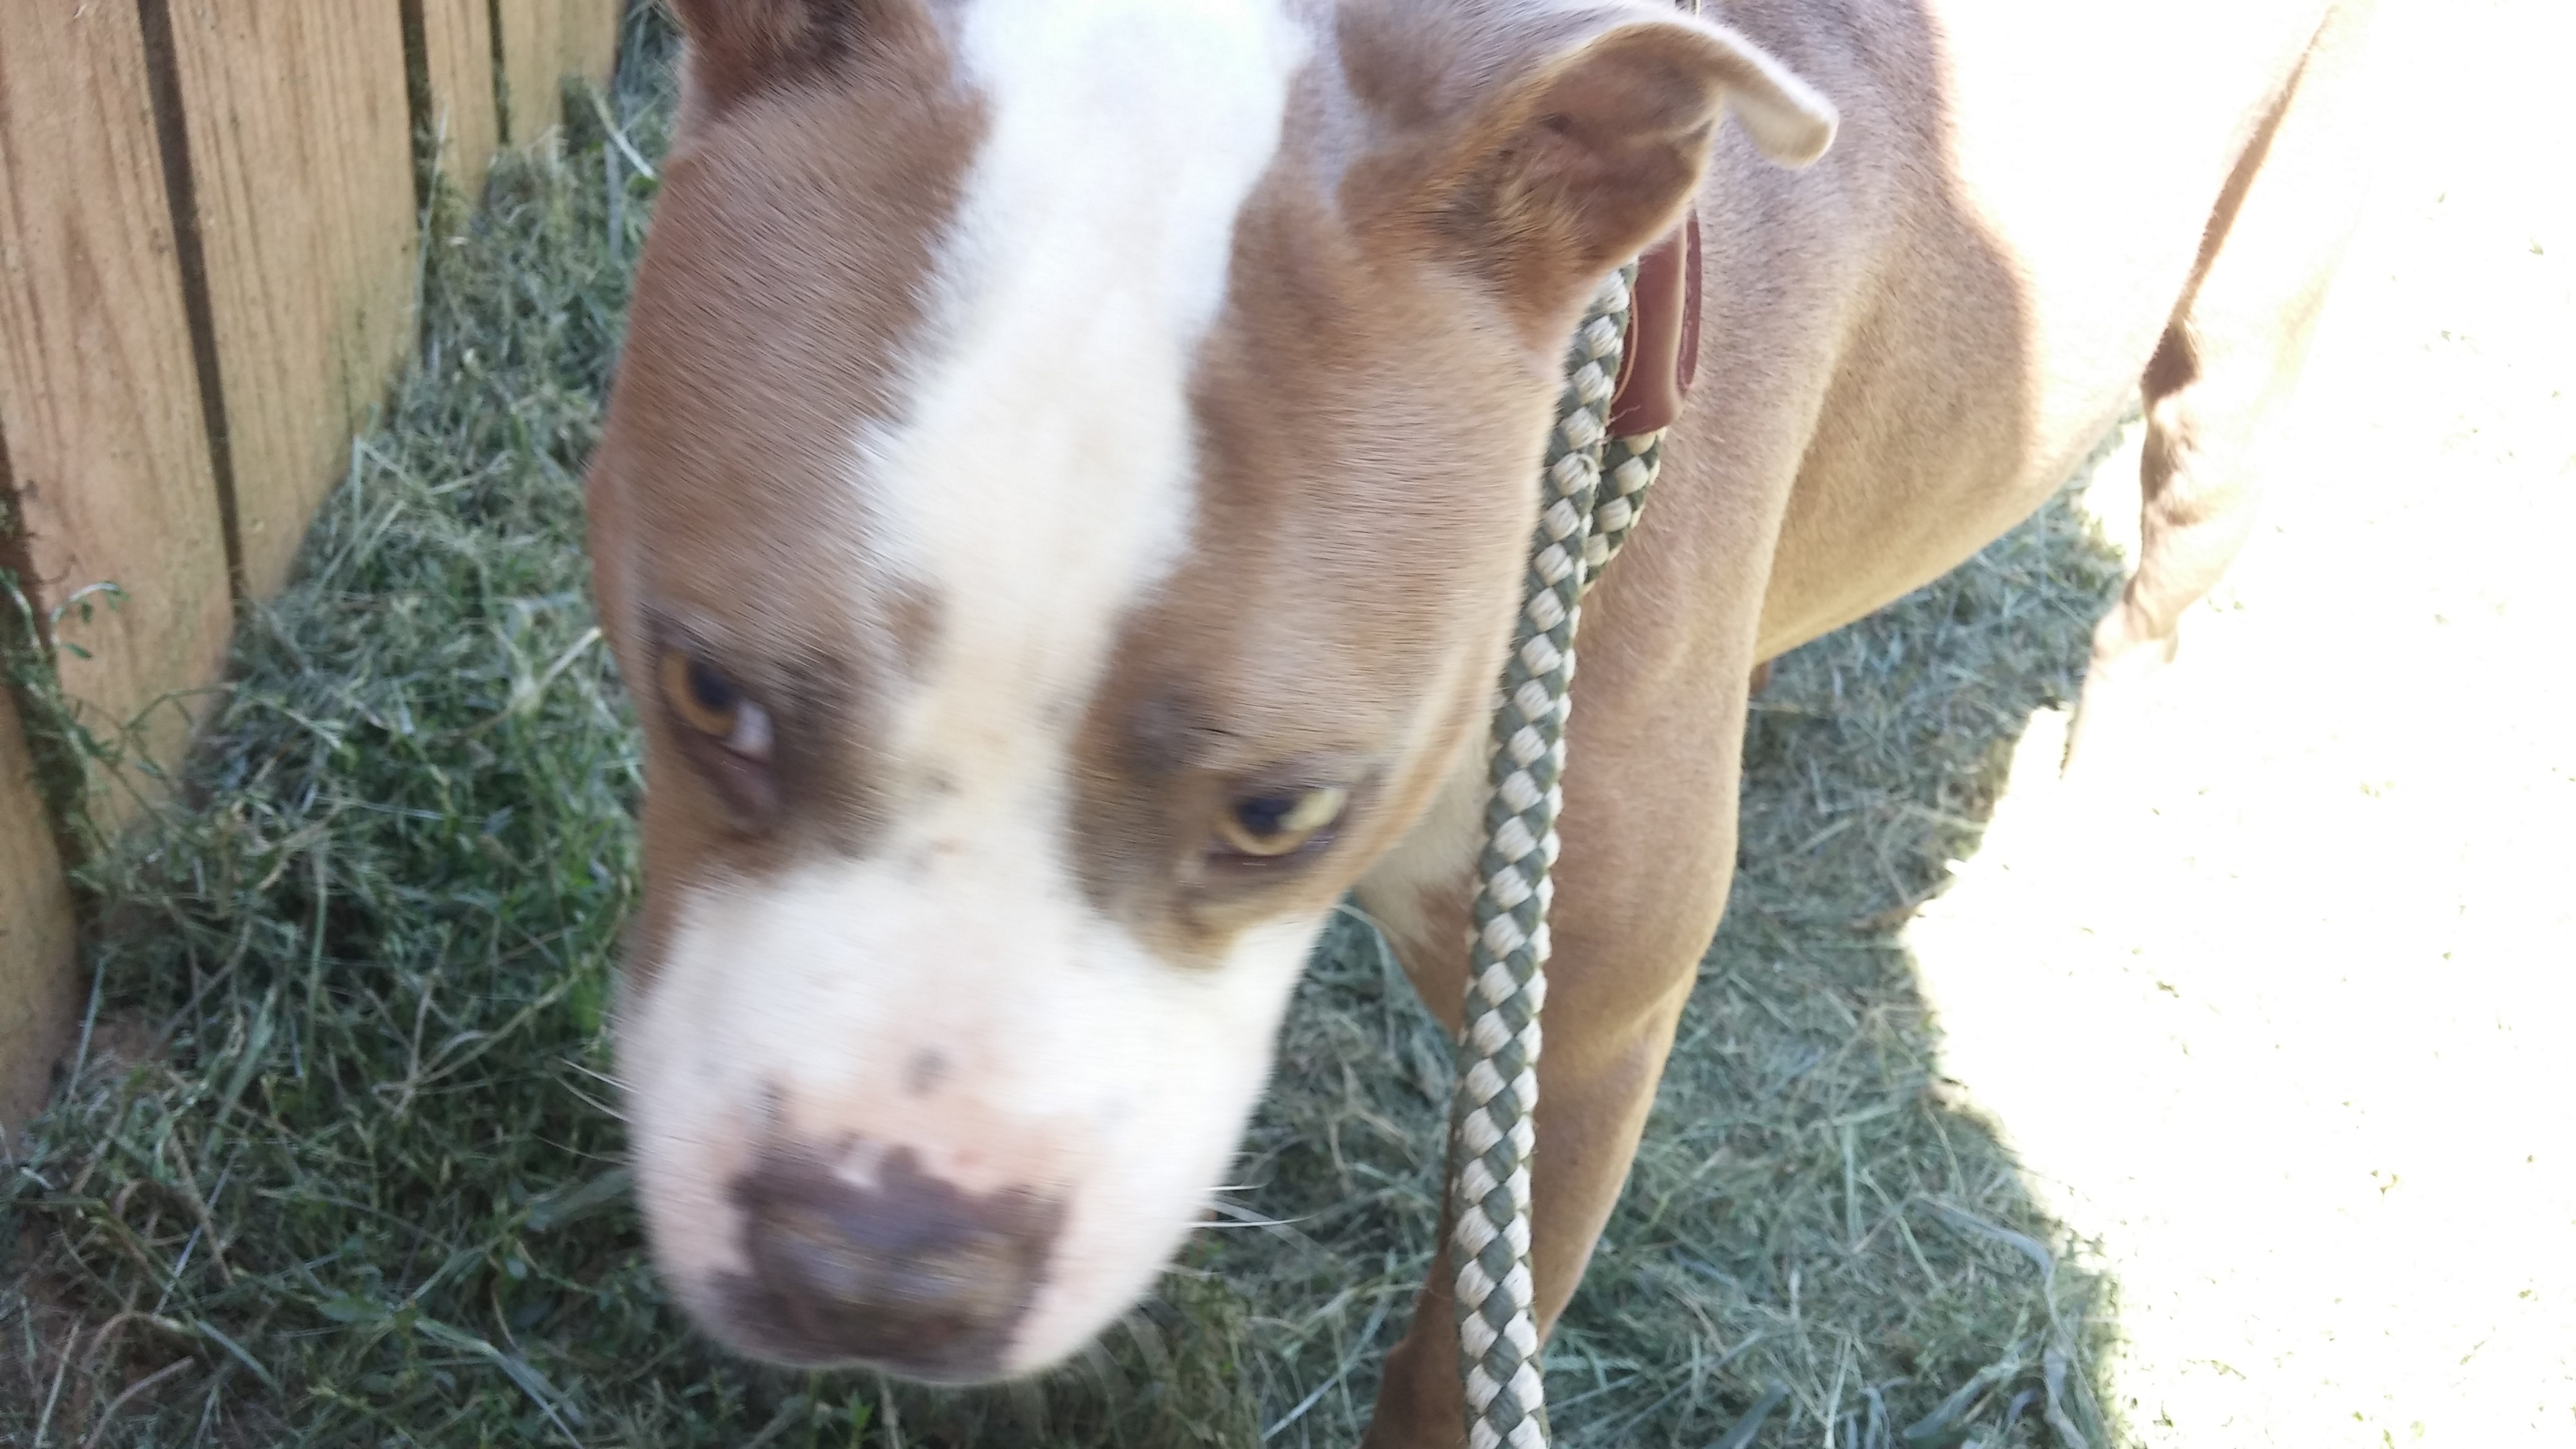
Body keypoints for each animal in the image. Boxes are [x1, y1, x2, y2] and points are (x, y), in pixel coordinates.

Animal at [585, 2, 2370, 1434]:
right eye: (705, 691)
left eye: (1282, 812)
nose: (874, 1270)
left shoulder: (1579, 1055)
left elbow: (1454, 1360)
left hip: (2236, 360)